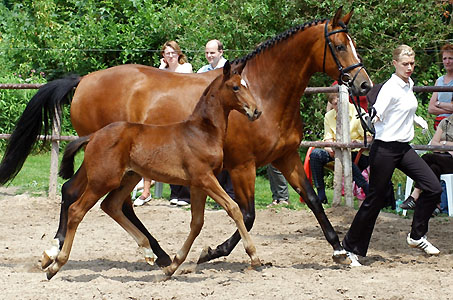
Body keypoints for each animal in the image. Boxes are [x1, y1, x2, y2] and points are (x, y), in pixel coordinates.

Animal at [42, 61, 262, 278]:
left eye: (246, 85)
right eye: (235, 87)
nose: (256, 111)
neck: (202, 132)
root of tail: (94, 136)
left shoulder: (197, 184)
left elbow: (197, 222)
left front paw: (174, 265)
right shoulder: (205, 178)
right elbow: (234, 209)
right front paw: (254, 257)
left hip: (128, 177)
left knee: (110, 205)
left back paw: (148, 251)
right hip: (102, 181)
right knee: (77, 210)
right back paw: (55, 264)